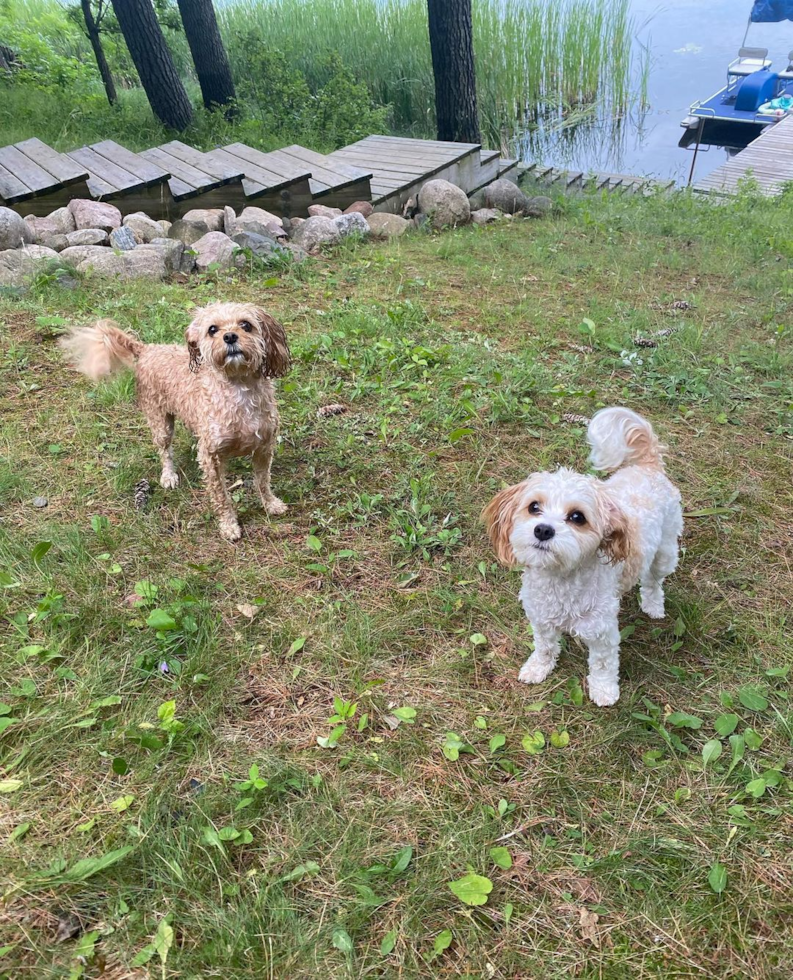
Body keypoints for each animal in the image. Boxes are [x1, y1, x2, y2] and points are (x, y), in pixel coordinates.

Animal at [62, 300, 290, 540]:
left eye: (246, 325)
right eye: (212, 330)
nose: (229, 336)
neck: (238, 388)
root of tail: (147, 349)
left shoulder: (264, 447)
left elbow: (263, 481)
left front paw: (271, 505)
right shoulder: (210, 457)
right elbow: (221, 497)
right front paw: (229, 525)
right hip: (160, 422)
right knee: (165, 451)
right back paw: (169, 476)